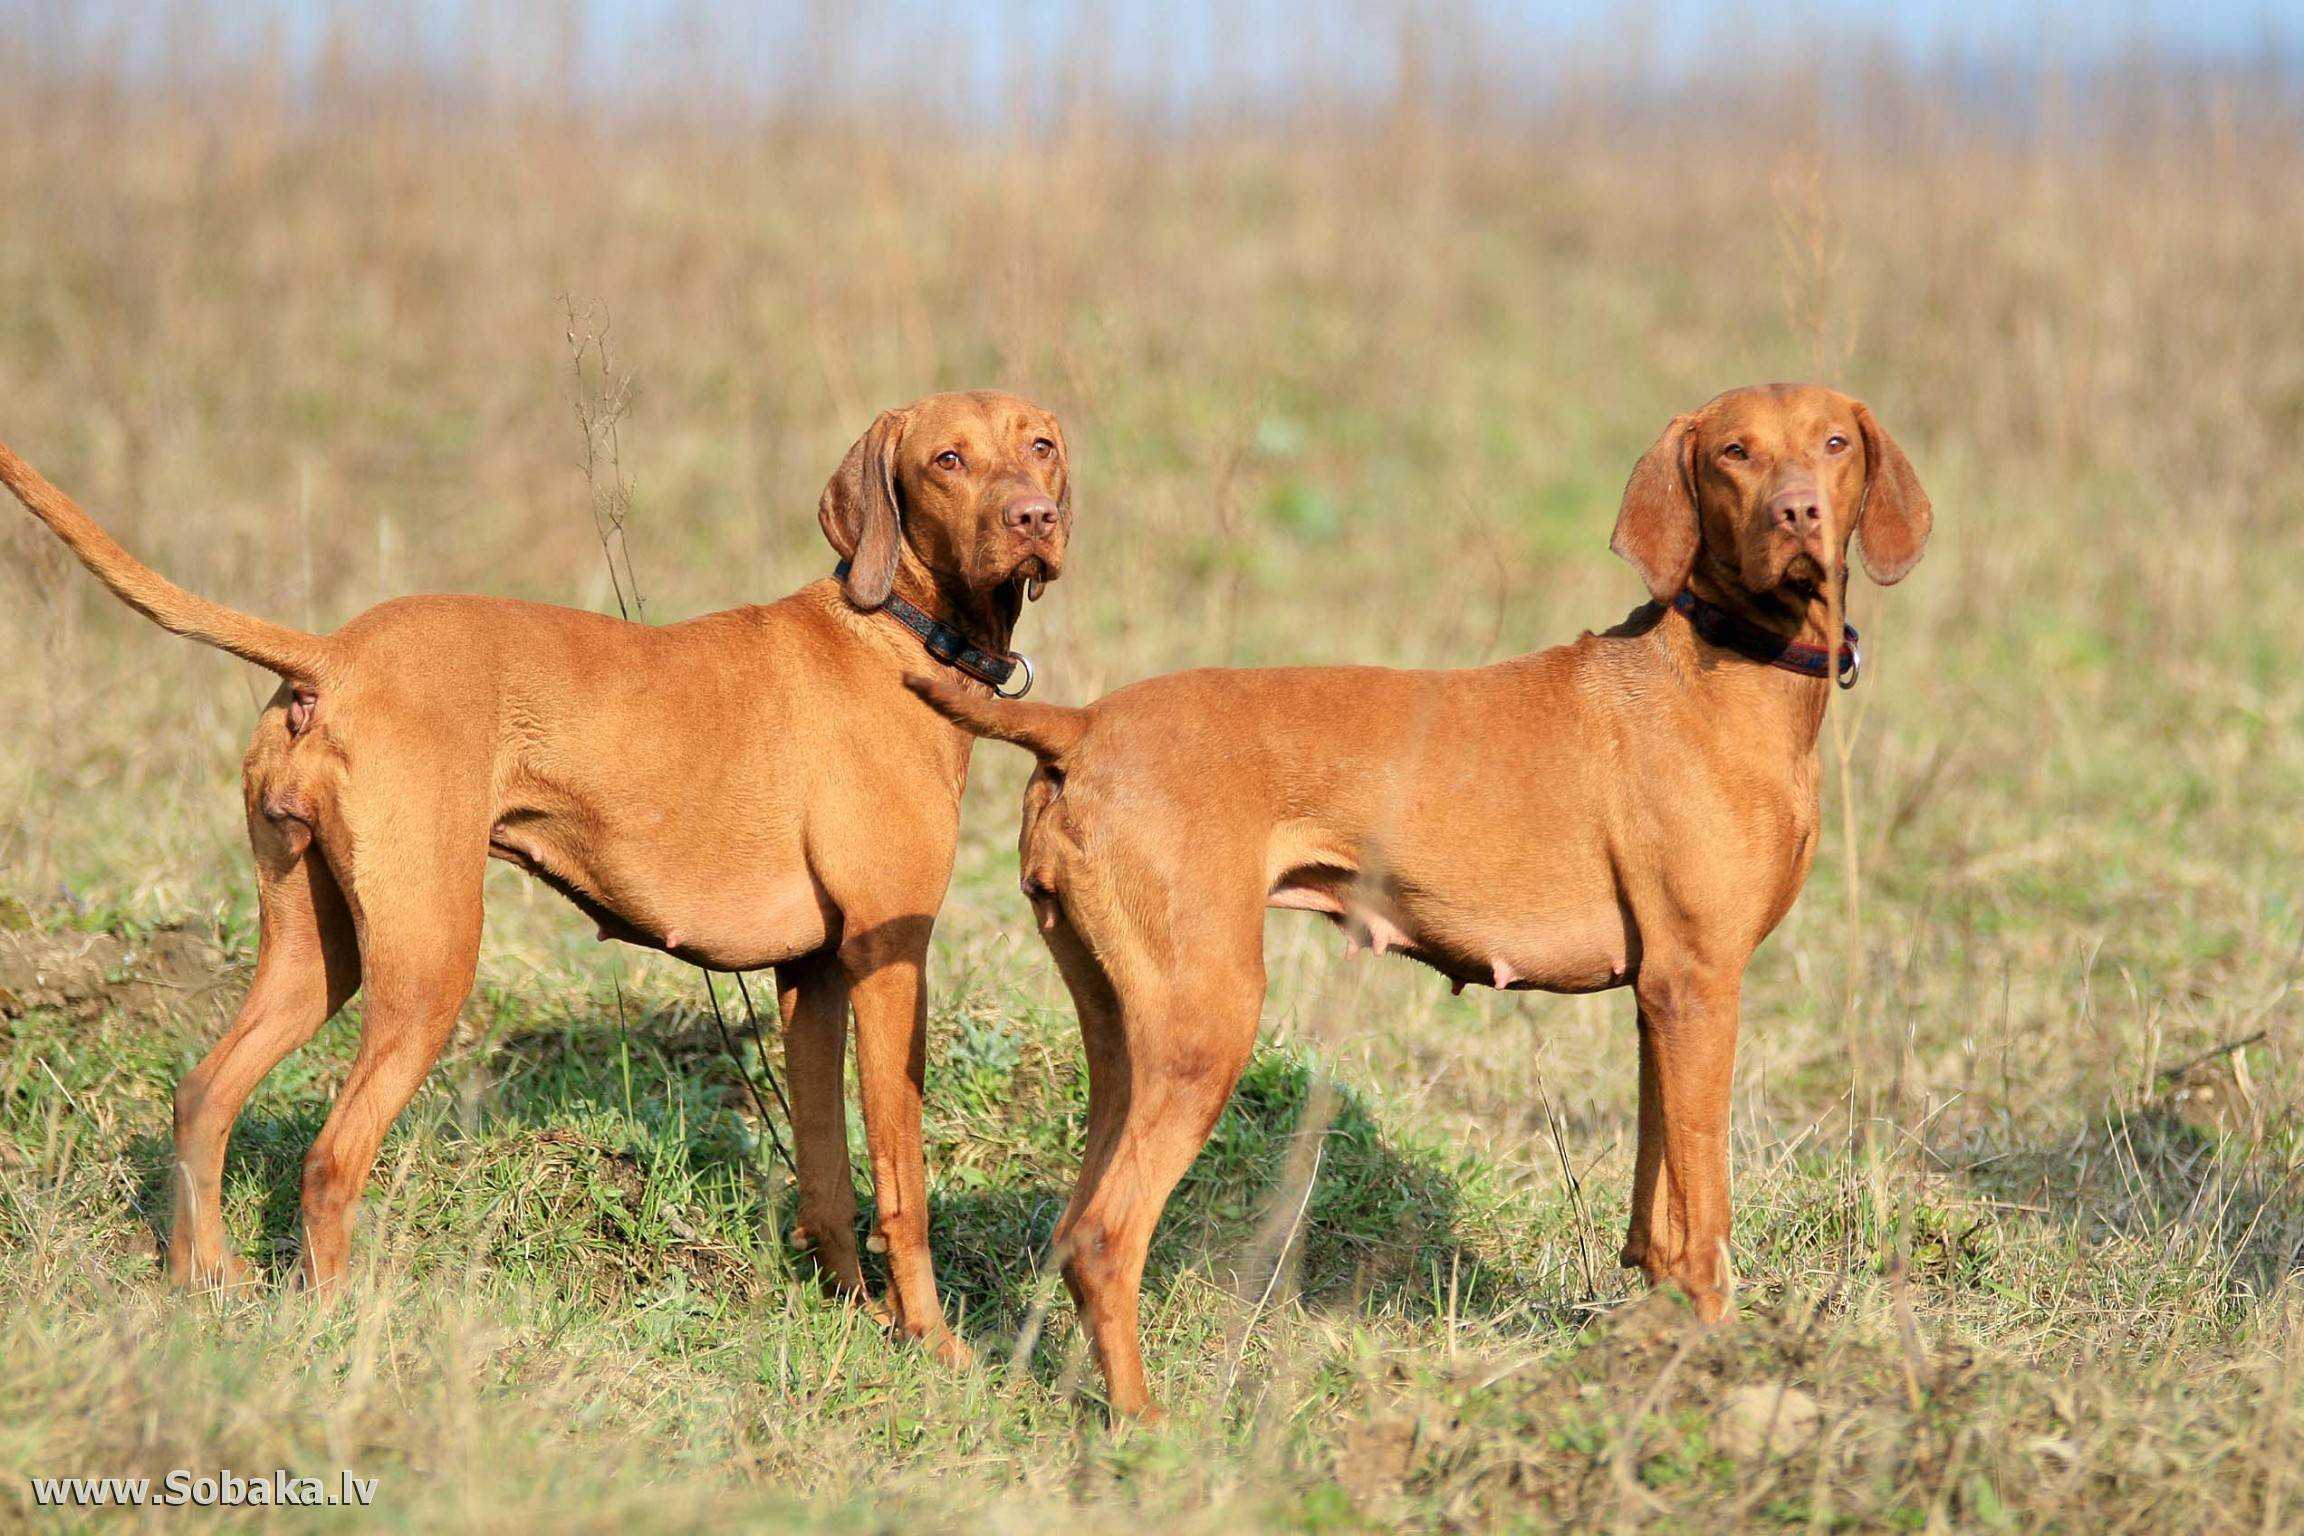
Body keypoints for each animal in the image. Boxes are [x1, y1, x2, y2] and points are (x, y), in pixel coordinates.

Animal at [0, 386, 1078, 1354]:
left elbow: (825, 1176)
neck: (897, 625)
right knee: (330, 1157)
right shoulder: (890, 960)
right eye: (947, 460)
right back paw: (336, 1324)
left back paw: (203, 1284)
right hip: (428, 968)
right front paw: (933, 1344)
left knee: (205, 1095)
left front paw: (855, 1319)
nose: (1036, 516)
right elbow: (901, 1178)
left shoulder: (810, 976)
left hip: (316, 954)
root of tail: (335, 654)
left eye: (1041, 445)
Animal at [912, 384, 1926, 1418]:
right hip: (1208, 1024)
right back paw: (1147, 1424)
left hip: (1121, 1032)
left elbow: (1658, 1213)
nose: (1799, 512)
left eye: (1834, 443)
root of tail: (1080, 724)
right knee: (1107, 1236)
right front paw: (1724, 1367)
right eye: (1734, 453)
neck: (1726, 664)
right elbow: (1705, 1221)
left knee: (1073, 1224)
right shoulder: (1699, 984)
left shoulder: (1663, 1000)